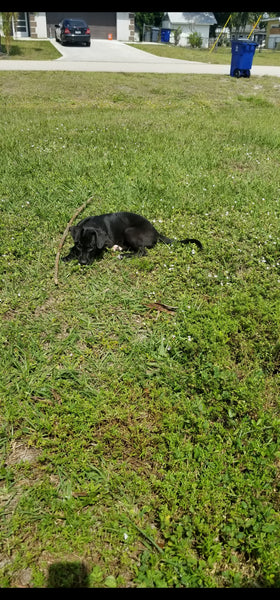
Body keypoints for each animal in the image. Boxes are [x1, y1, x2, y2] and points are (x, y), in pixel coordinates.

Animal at [61, 212, 201, 266]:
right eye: (79, 246)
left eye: (92, 248)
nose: (82, 263)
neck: (92, 224)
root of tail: (156, 232)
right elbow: (73, 249)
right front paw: (67, 257)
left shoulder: (106, 242)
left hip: (129, 231)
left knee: (142, 251)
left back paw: (122, 255)